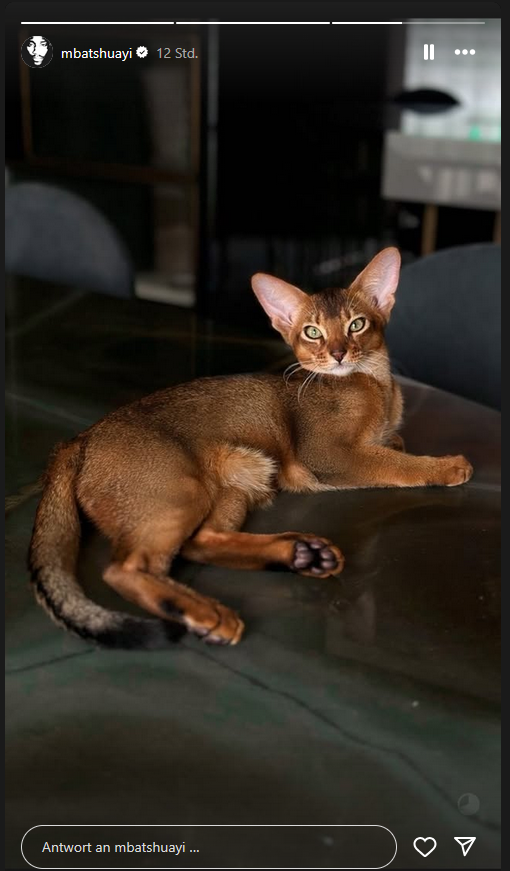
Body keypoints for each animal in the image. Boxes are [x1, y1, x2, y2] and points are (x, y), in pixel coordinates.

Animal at [29, 247, 472, 649]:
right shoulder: (328, 456)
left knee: (201, 542)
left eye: (357, 324)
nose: (338, 353)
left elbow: (391, 446)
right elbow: (394, 463)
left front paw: (399, 441)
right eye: (312, 332)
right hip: (180, 490)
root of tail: (79, 438)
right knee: (125, 568)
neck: (374, 384)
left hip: (239, 477)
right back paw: (208, 613)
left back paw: (301, 554)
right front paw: (447, 466)